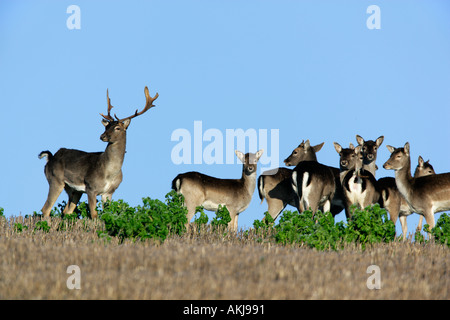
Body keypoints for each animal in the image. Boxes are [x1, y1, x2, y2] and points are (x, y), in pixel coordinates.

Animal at [38, 86, 158, 219]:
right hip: (55, 179)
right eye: (106, 127)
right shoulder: (91, 187)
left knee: (66, 212)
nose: (102, 136)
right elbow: (94, 215)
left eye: (118, 128)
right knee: (45, 209)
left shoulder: (109, 192)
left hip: (74, 190)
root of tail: (50, 158)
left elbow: (107, 214)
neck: (109, 172)